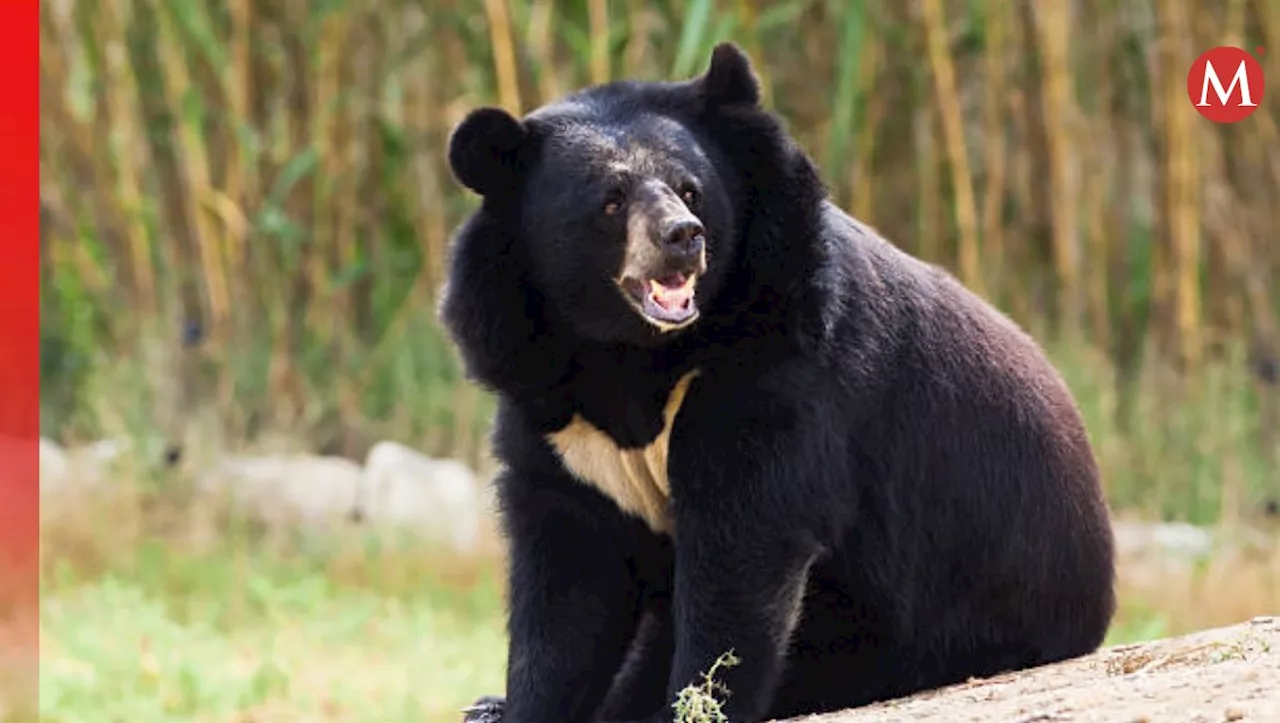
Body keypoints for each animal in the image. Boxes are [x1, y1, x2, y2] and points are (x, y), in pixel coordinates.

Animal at [437, 42, 1111, 721]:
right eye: (610, 200)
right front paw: (524, 704)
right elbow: (568, 579)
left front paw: (694, 705)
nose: (683, 238)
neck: (629, 353)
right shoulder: (553, 411)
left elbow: (742, 550)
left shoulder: (774, 372)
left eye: (690, 189)